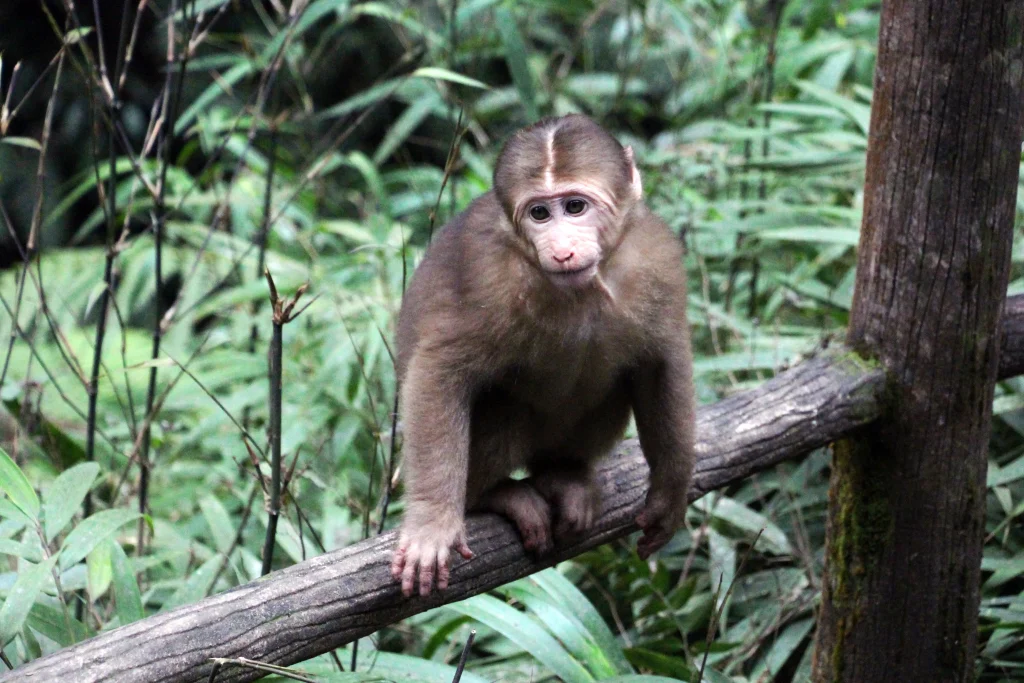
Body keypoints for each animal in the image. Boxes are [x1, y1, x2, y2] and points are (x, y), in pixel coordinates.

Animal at [390, 114, 696, 597]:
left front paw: (670, 492)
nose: (563, 249)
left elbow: (658, 365)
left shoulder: (657, 259)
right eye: (539, 214)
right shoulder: (490, 280)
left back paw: (563, 473)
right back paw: (493, 495)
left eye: (575, 206)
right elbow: (439, 371)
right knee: (505, 405)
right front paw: (431, 523)